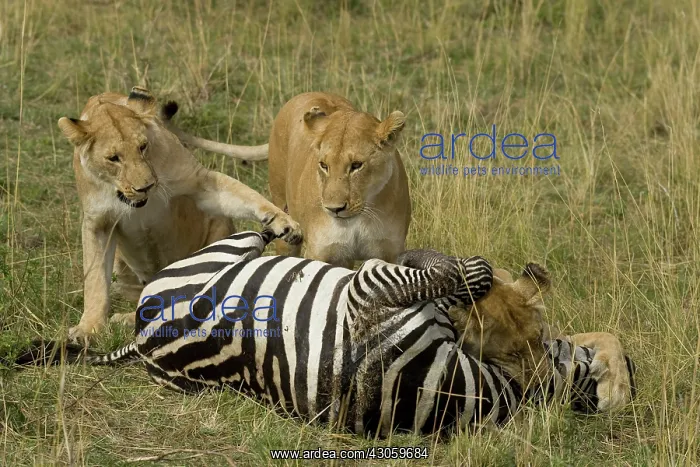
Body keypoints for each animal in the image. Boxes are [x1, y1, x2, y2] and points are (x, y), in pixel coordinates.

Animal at [58, 86, 302, 343]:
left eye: (143, 147)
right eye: (113, 158)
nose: (146, 186)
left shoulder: (199, 182)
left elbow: (246, 195)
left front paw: (283, 222)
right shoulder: (97, 222)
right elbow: (94, 279)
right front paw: (88, 328)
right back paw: (129, 319)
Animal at [267, 92, 411, 268]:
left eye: (356, 165)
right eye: (324, 165)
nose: (334, 209)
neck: (359, 221)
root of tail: (309, 92)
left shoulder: (392, 252)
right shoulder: (320, 252)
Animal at [448, 263, 636, 412]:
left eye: (538, 338)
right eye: (512, 355)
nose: (547, 385)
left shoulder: (558, 336)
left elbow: (610, 336)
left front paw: (615, 391)